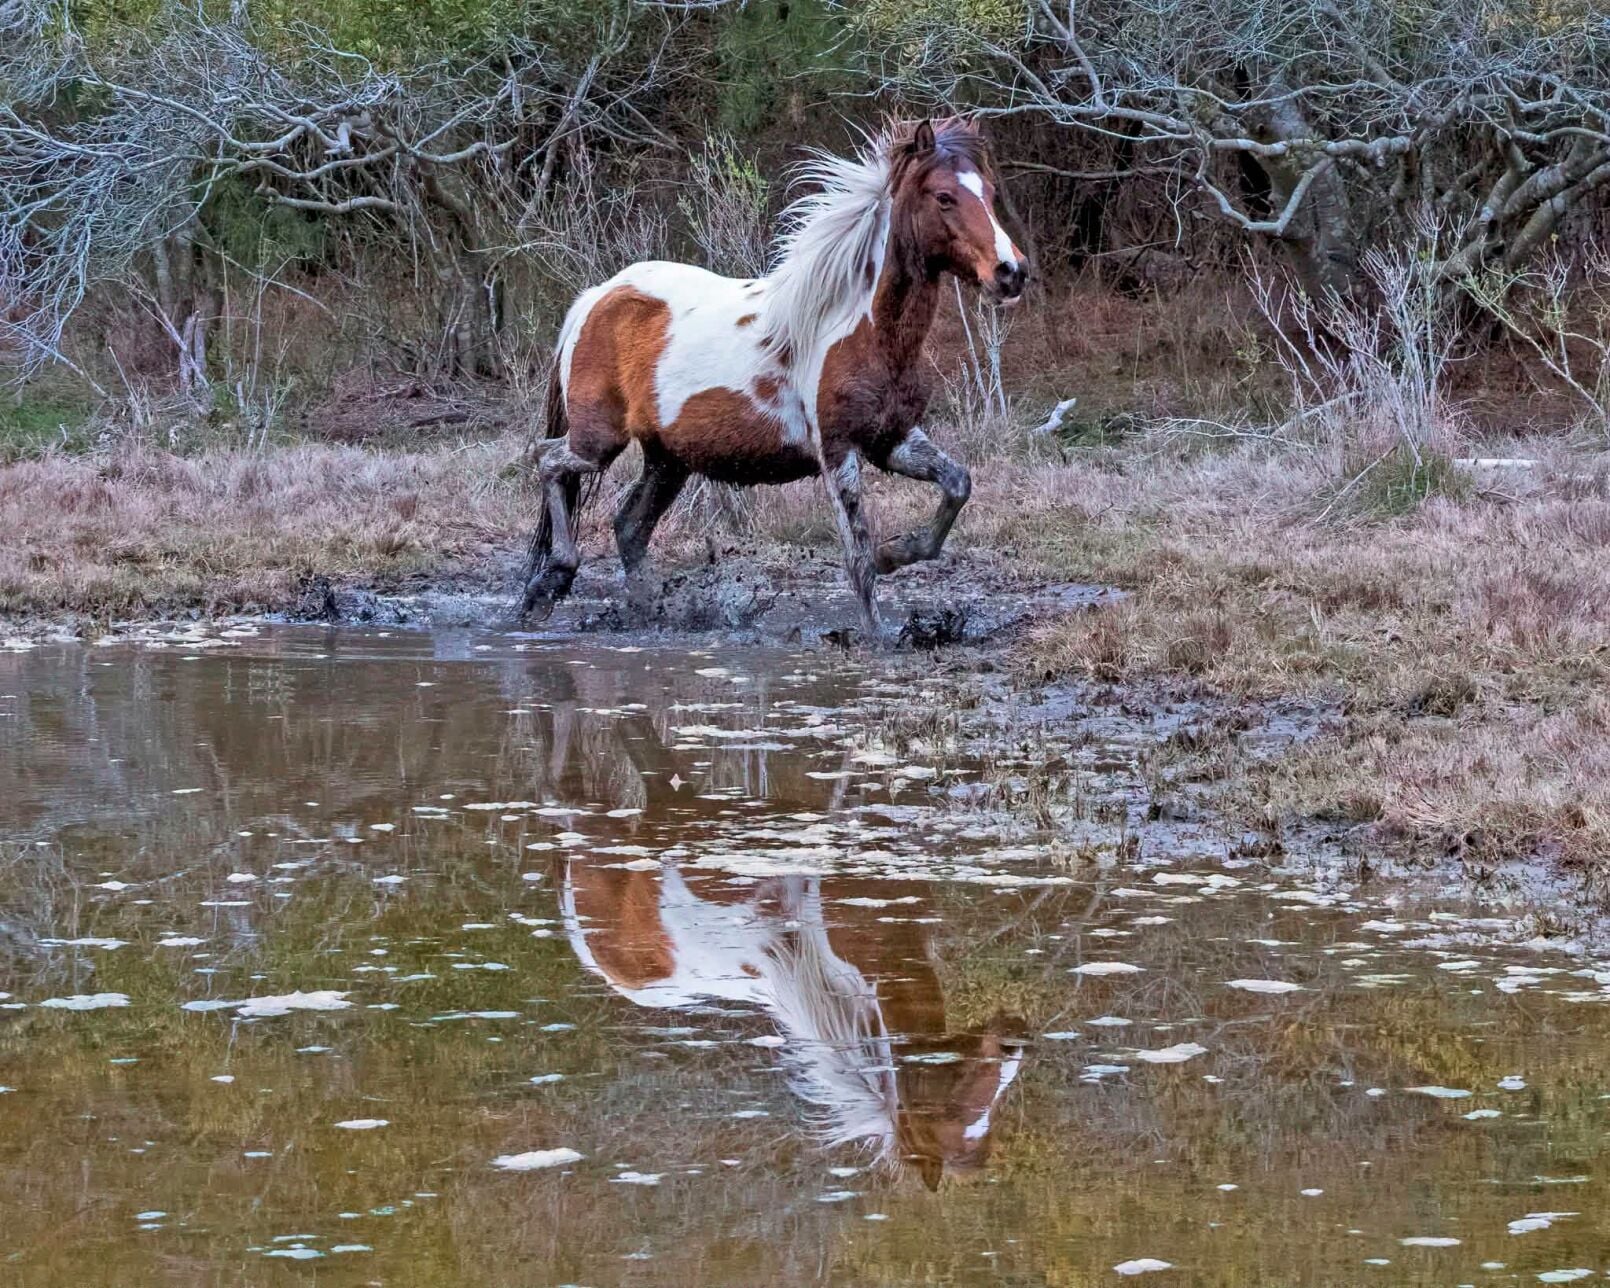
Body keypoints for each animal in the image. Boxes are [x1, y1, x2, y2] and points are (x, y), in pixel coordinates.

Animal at [520, 117, 1029, 638]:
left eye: (989, 192)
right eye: (944, 196)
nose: (1011, 272)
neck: (861, 330)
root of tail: (597, 296)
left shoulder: (894, 439)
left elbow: (957, 484)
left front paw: (897, 553)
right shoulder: (837, 450)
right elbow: (858, 558)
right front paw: (876, 637)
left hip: (668, 459)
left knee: (629, 526)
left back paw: (646, 612)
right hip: (598, 441)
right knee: (546, 459)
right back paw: (549, 585)